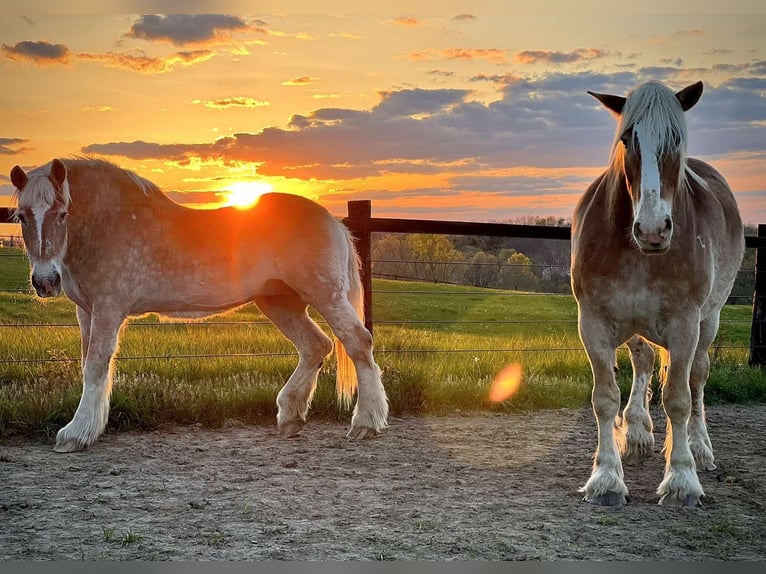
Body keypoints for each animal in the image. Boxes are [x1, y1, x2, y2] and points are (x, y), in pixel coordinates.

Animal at [9, 159, 388, 454]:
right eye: (22, 216)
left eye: (62, 214)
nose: (45, 281)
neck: (108, 223)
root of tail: (332, 220)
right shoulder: (86, 311)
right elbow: (90, 365)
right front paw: (89, 428)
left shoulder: (108, 308)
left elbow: (96, 366)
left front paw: (75, 433)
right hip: (279, 302)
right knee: (316, 346)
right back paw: (290, 416)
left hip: (325, 296)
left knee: (358, 343)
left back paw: (366, 423)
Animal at [572, 81, 748, 508]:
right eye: (626, 138)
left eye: (676, 139)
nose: (653, 230)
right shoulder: (593, 321)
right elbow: (605, 397)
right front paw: (605, 477)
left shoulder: (685, 325)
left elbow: (679, 399)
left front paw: (682, 480)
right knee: (645, 361)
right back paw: (636, 434)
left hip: (708, 322)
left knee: (697, 379)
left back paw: (699, 449)